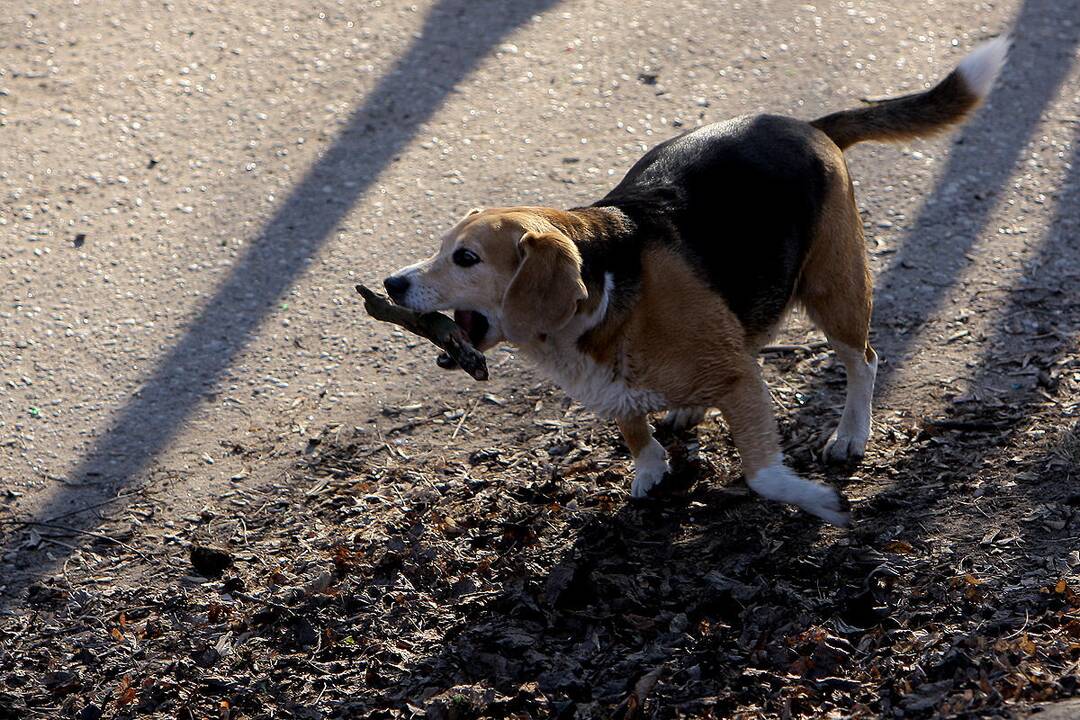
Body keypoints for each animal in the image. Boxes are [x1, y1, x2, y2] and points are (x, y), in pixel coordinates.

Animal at [384, 38, 1006, 524]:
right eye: (440, 249)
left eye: (466, 258)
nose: (391, 284)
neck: (605, 290)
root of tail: (807, 127)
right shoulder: (620, 385)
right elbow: (634, 427)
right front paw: (651, 465)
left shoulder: (740, 378)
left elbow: (762, 474)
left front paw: (817, 501)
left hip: (836, 290)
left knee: (864, 361)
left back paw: (851, 432)